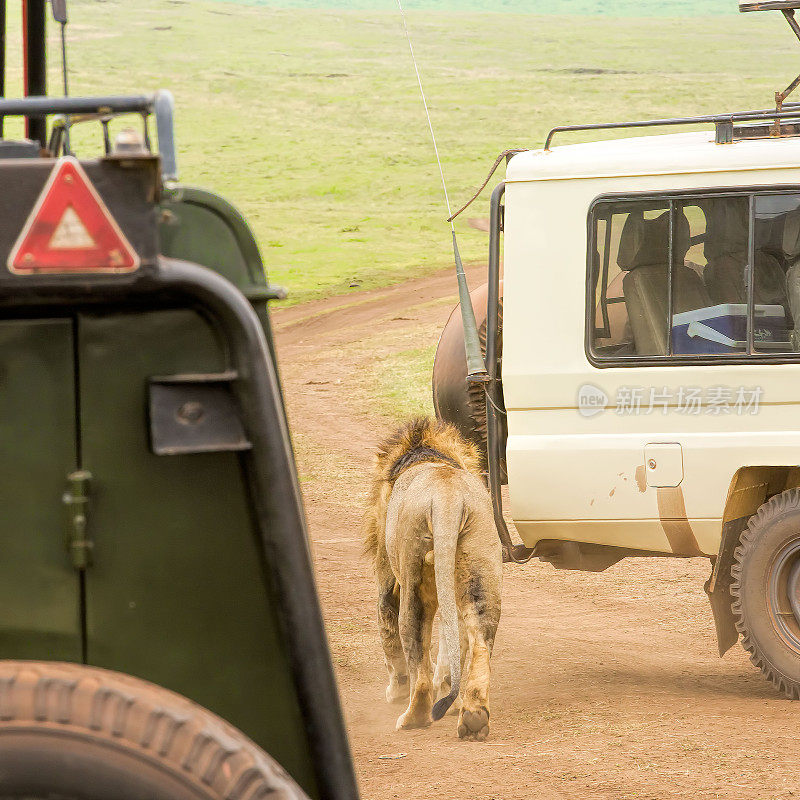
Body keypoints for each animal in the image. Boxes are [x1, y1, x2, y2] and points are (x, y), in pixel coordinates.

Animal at [366, 416, 504, 740]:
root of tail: (447, 498)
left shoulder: (387, 579)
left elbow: (388, 633)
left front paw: (394, 691)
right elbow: (451, 644)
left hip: (412, 576)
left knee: (417, 658)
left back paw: (413, 717)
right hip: (479, 569)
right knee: (479, 641)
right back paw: (472, 716)